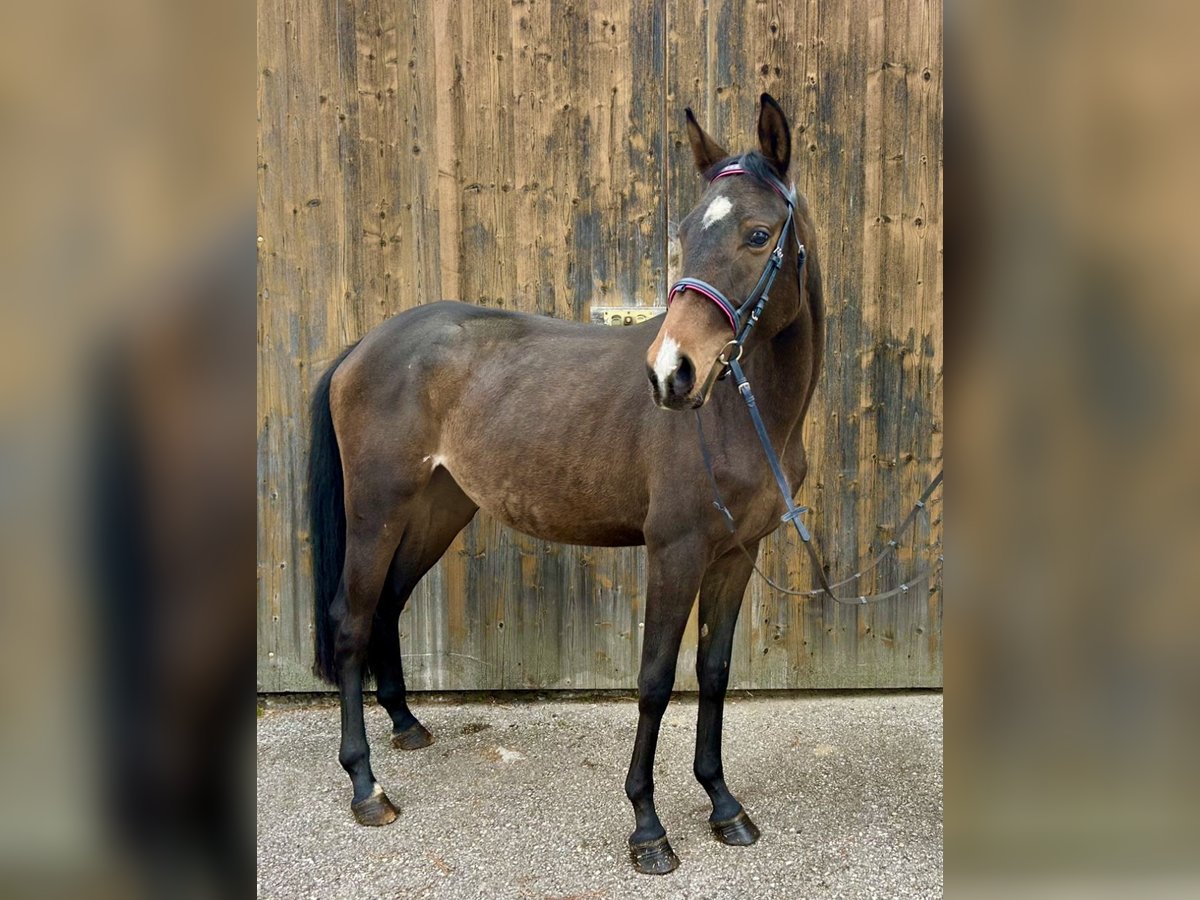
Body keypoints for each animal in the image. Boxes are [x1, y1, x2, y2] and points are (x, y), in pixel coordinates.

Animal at [304, 95, 820, 878]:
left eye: (759, 235)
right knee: (352, 621)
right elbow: (654, 681)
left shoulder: (736, 554)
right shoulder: (675, 553)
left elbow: (715, 671)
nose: (672, 373)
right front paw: (648, 827)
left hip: (437, 510)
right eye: (684, 234)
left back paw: (407, 724)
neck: (739, 414)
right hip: (376, 512)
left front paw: (723, 805)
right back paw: (367, 786)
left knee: (388, 605)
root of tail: (363, 346)